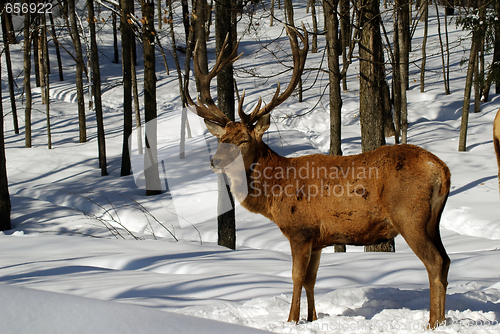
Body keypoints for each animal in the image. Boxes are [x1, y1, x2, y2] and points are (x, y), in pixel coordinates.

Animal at [186, 25, 452, 328]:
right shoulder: (319, 238)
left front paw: (291, 320)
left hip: (410, 215)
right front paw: (311, 318)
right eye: (222, 139)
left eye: (243, 140)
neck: (275, 188)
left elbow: (296, 277)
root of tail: (441, 169)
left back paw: (433, 323)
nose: (215, 161)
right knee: (446, 261)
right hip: (432, 221)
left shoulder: (300, 229)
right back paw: (442, 320)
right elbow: (311, 280)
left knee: (434, 261)